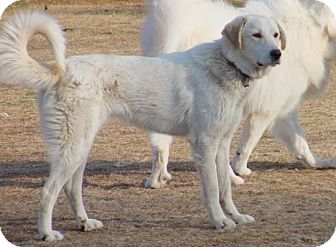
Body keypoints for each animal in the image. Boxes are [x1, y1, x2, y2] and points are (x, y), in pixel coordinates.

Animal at [0, 11, 284, 241]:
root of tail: (58, 70)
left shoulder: (222, 144)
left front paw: (236, 217)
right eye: (256, 35)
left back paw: (84, 223)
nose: (277, 53)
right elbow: (213, 190)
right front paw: (220, 221)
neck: (227, 64)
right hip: (72, 148)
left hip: (81, 147)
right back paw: (46, 233)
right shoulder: (204, 145)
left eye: (275, 35)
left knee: (71, 188)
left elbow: (226, 187)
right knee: (48, 191)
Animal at [141, 0, 336, 187]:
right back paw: (231, 178)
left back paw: (157, 178)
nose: (277, 54)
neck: (309, 27)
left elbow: (300, 144)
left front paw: (319, 163)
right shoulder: (265, 112)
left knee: (159, 144)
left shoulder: (283, 111)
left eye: (276, 35)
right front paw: (240, 169)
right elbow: (248, 145)